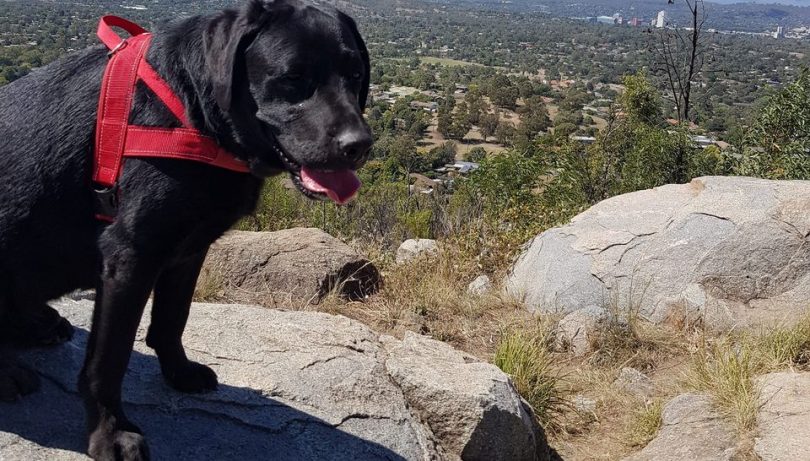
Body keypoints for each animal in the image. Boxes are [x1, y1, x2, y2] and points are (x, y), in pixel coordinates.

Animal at [0, 1, 370, 458]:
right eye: (293, 78)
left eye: (356, 75)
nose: (360, 145)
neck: (190, 112)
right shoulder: (129, 258)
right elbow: (108, 360)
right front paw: (109, 433)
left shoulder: (189, 249)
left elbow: (173, 318)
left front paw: (179, 372)